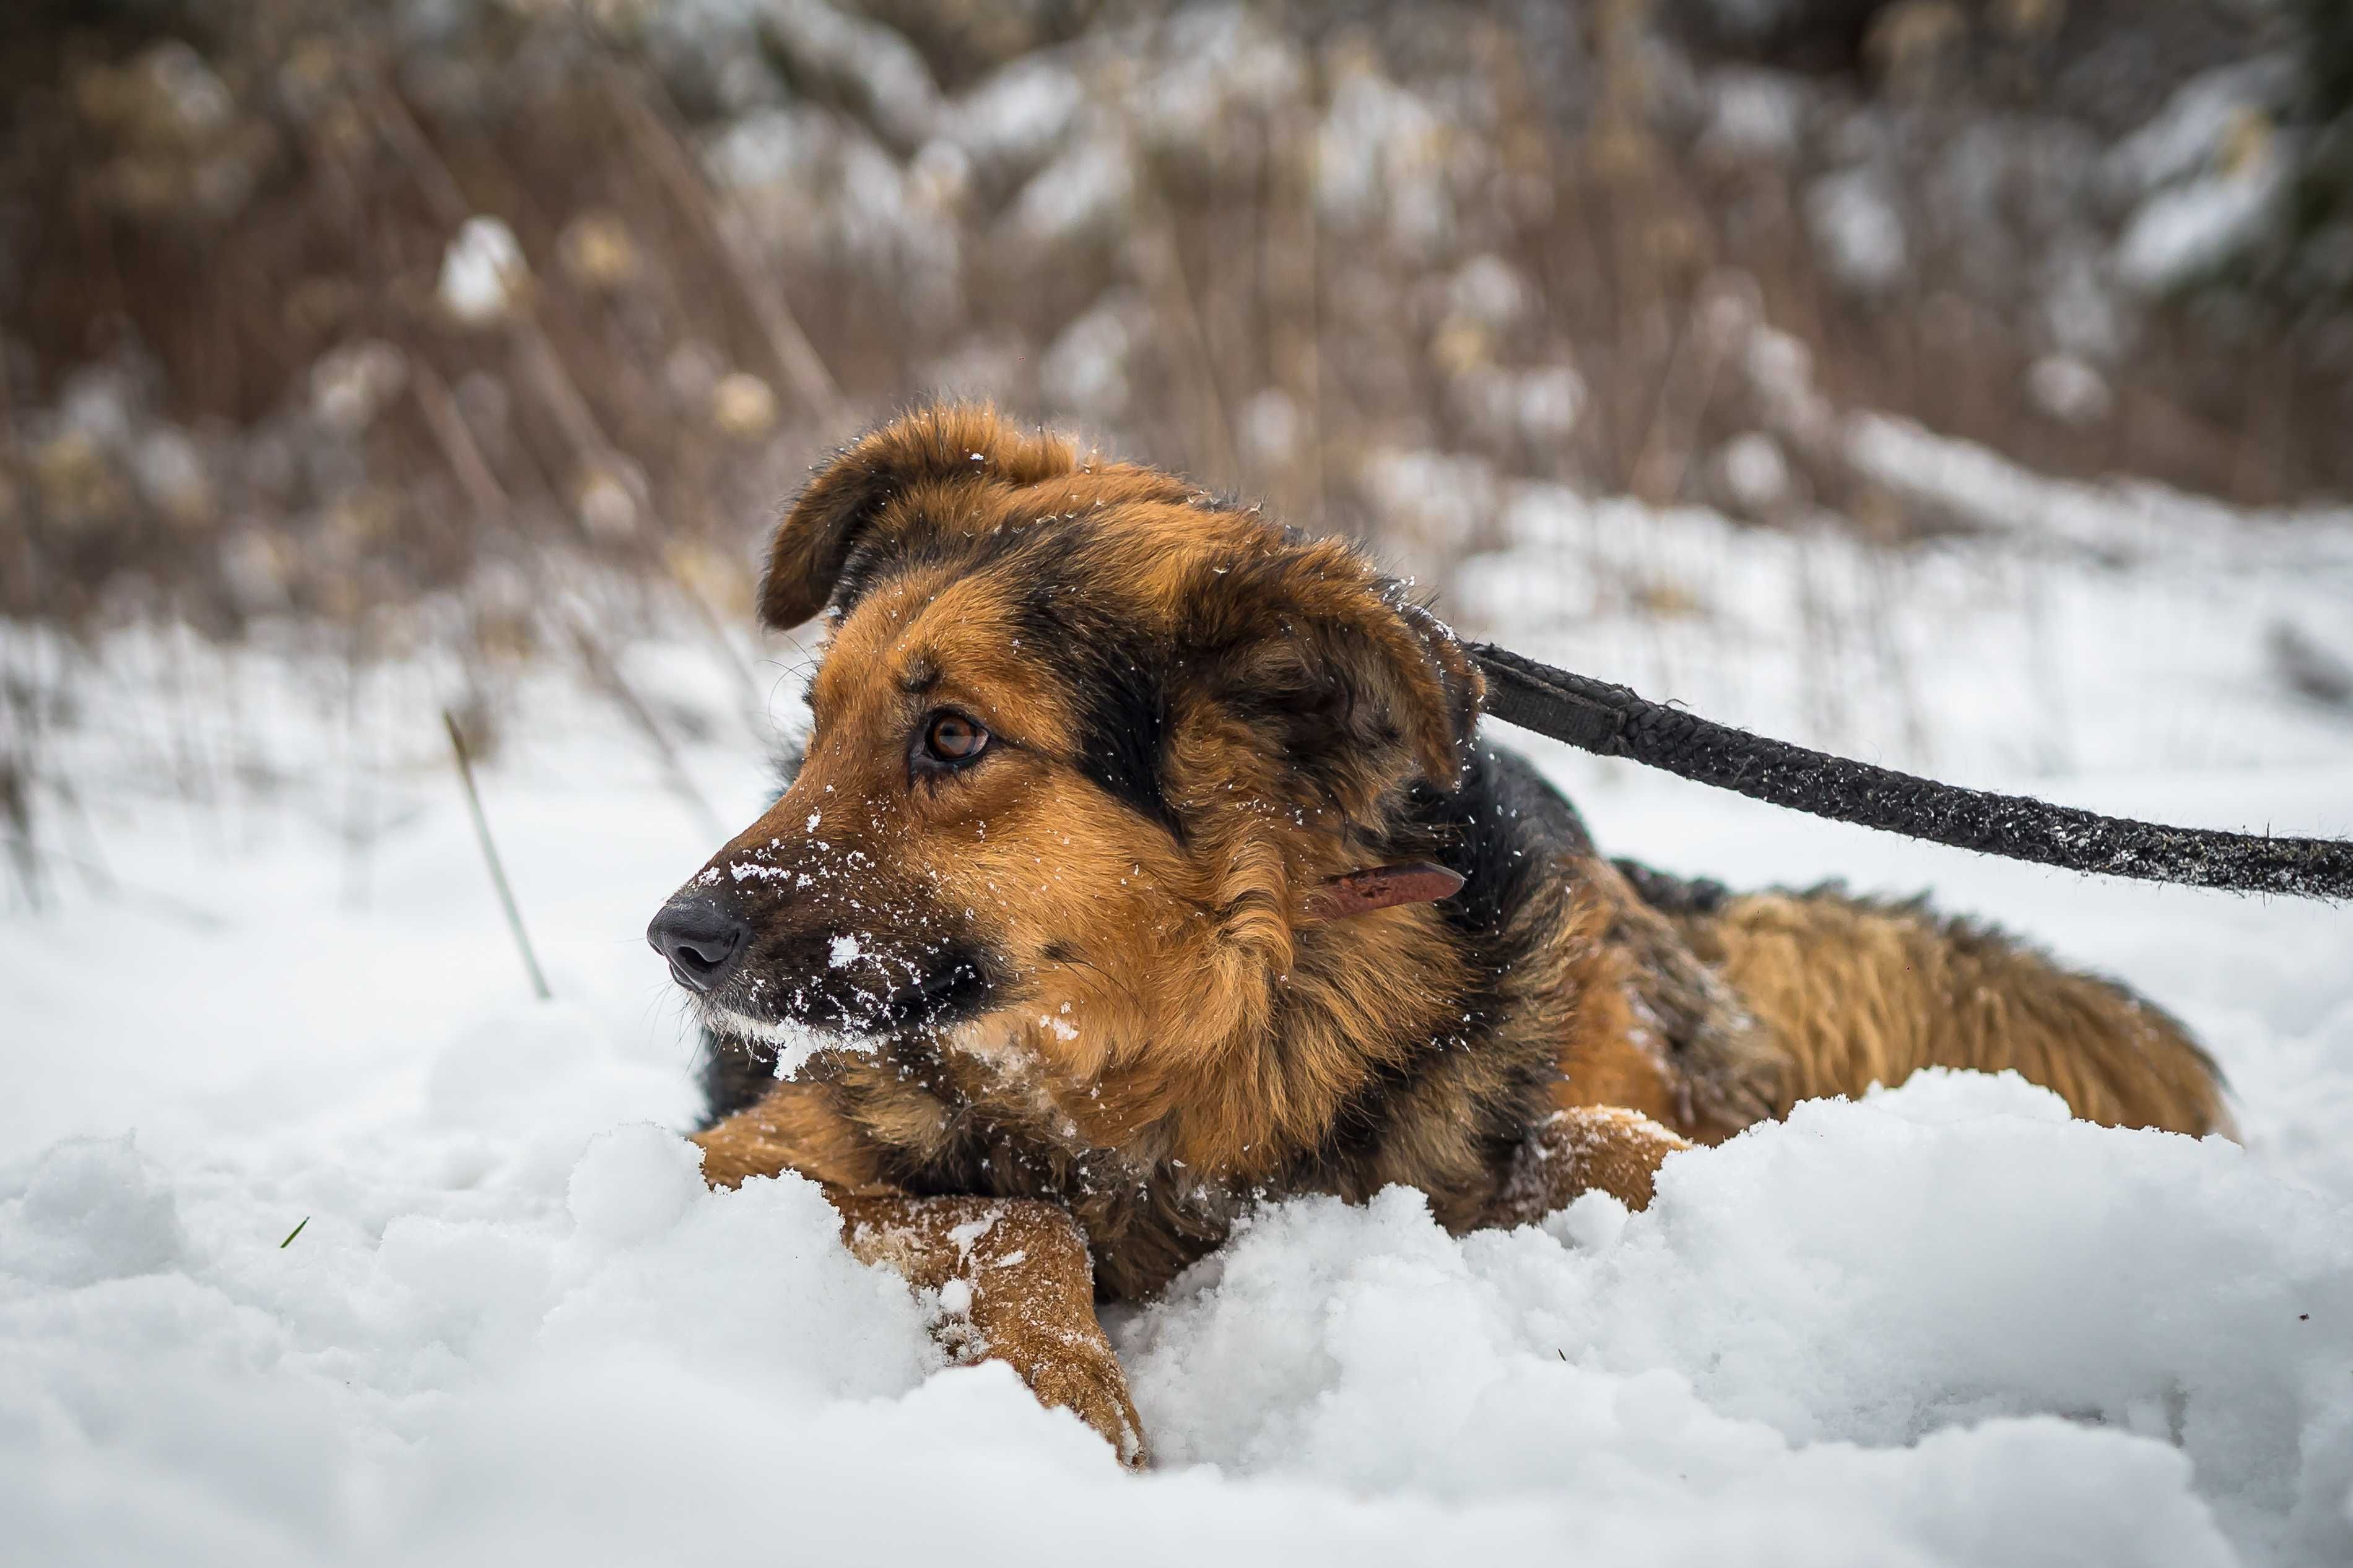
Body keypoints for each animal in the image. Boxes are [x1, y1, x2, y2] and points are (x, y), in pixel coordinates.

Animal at [654, 404, 2230, 1476]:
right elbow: (1012, 1216)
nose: (675, 939)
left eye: (952, 736)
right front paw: (1069, 1404)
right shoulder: (747, 1161)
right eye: (814, 727)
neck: (1195, 1038)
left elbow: (1609, 1144)